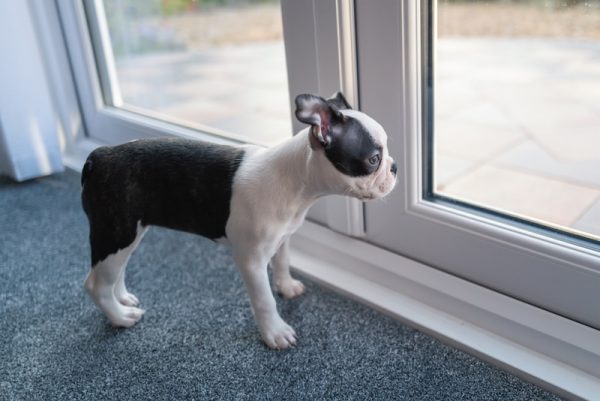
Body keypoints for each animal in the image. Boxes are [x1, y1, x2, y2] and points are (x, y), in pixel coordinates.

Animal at [82, 92, 396, 348]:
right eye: (373, 159)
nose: (394, 167)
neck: (296, 180)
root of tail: (99, 156)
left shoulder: (282, 238)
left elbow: (282, 262)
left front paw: (287, 287)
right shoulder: (251, 260)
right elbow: (264, 299)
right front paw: (275, 333)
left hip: (128, 233)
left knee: (116, 271)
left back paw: (123, 299)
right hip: (116, 231)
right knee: (95, 284)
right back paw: (120, 317)